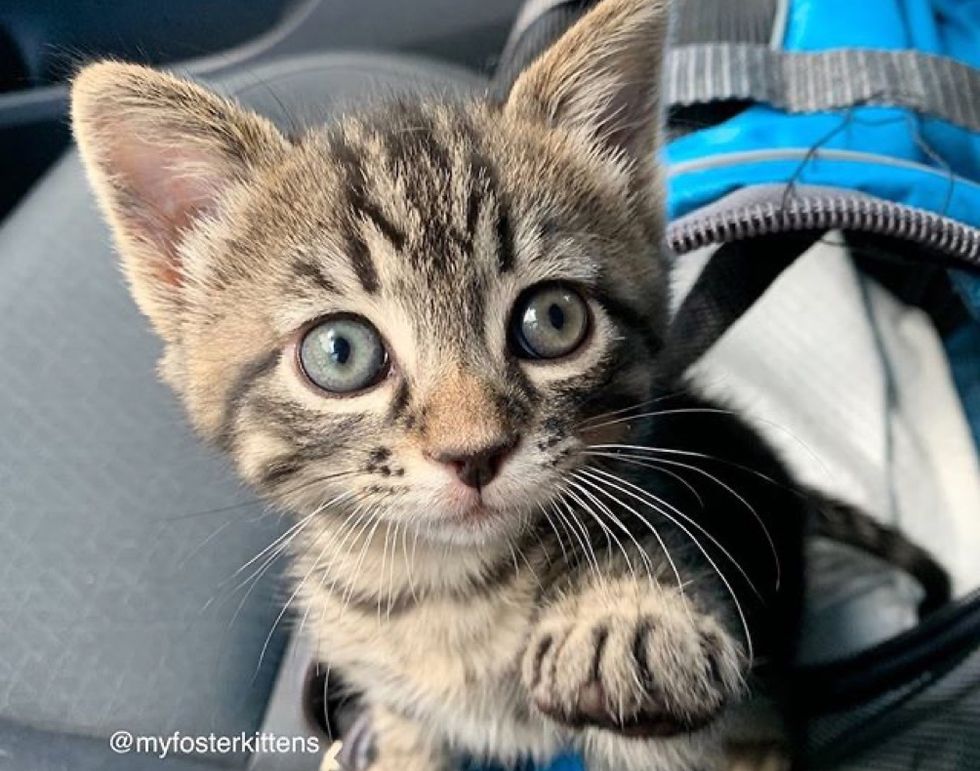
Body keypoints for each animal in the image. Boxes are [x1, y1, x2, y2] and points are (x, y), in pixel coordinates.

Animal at [67, 0, 804, 768]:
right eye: (340, 352)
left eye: (554, 317)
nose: (473, 453)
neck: (444, 587)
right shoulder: (394, 702)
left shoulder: (747, 733)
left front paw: (626, 612)